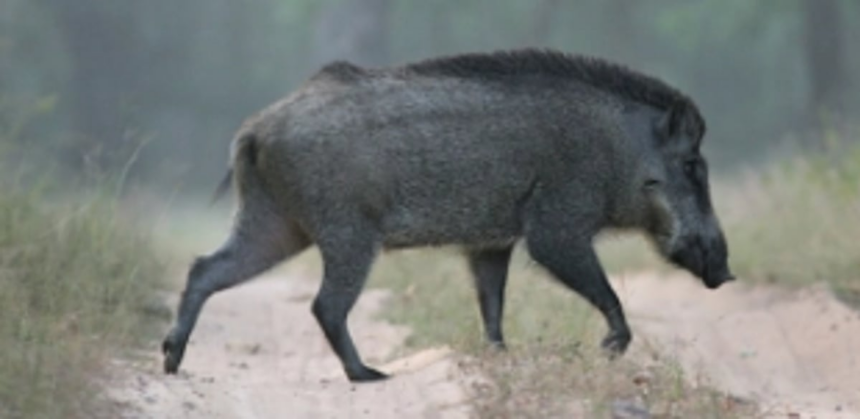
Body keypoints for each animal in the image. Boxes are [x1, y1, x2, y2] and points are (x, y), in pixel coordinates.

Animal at [162, 48, 734, 382]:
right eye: (692, 165)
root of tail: (256, 129)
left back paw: (170, 360)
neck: (619, 151)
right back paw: (370, 375)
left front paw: (499, 354)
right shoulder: (556, 224)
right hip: (346, 231)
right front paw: (611, 348)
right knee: (325, 304)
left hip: (277, 222)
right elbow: (598, 287)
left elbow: (492, 301)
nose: (726, 273)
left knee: (205, 268)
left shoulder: (492, 240)